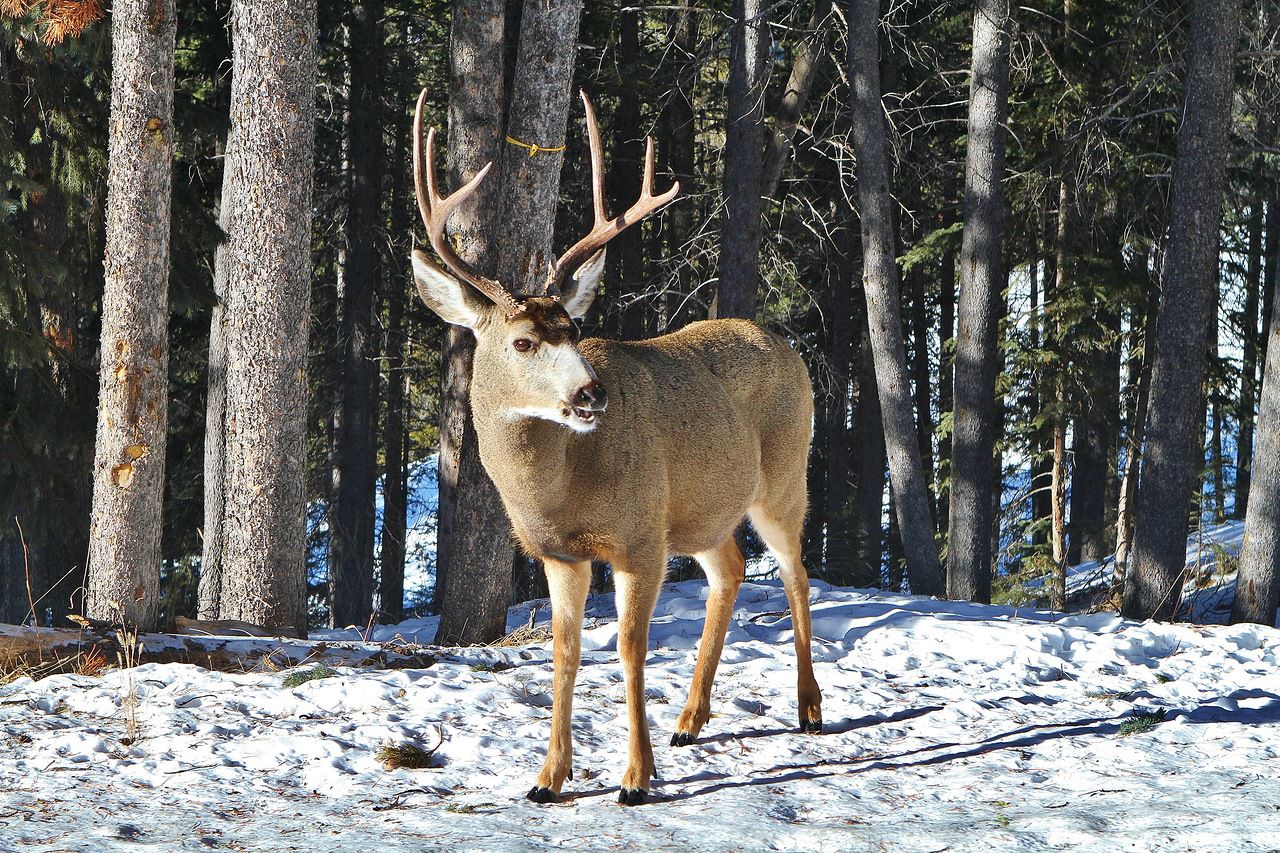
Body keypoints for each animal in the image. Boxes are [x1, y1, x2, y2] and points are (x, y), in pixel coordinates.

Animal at [414, 89, 824, 799]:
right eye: (524, 340)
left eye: (576, 329)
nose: (591, 394)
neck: (561, 487)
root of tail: (783, 344)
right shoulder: (561, 555)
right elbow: (566, 651)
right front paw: (548, 777)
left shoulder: (638, 539)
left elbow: (632, 648)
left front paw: (635, 775)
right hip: (699, 513)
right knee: (731, 570)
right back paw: (690, 720)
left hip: (781, 479)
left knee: (796, 575)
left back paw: (807, 707)